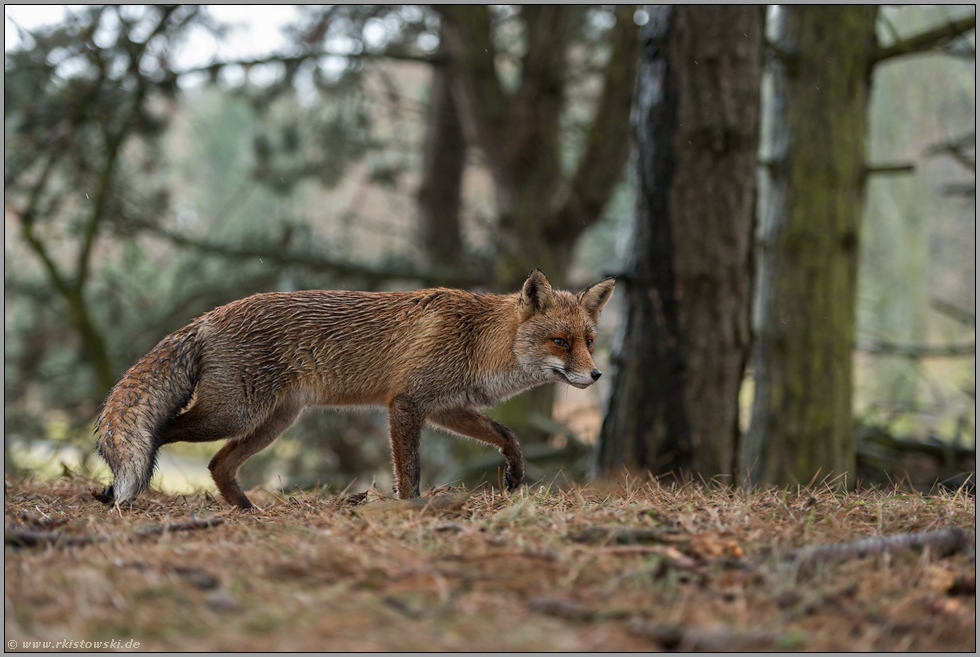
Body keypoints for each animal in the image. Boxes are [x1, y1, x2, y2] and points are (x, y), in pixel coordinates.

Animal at [92, 266, 612, 508]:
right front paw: (410, 509)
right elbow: (410, 472)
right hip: (230, 414)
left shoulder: (445, 407)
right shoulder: (406, 403)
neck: (477, 341)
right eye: (560, 342)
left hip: (273, 422)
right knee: (158, 433)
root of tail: (207, 318)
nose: (595, 375)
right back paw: (122, 490)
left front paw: (515, 473)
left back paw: (246, 511)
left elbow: (509, 435)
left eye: (588, 341)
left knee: (219, 464)